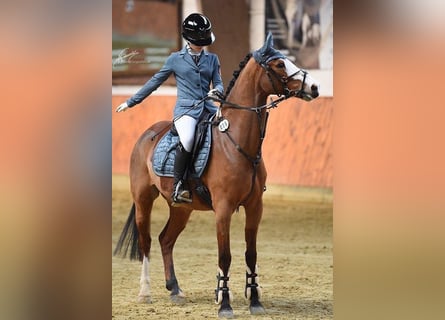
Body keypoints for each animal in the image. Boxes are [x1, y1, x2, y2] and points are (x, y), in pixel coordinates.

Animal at [112, 32, 318, 318]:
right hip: (143, 200)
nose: (315, 88)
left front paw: (255, 301)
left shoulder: (255, 206)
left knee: (166, 240)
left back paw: (175, 289)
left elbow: (251, 253)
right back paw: (145, 293)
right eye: (279, 64)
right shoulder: (223, 208)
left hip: (181, 208)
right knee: (147, 242)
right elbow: (225, 255)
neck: (237, 143)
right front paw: (225, 304)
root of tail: (148, 133)